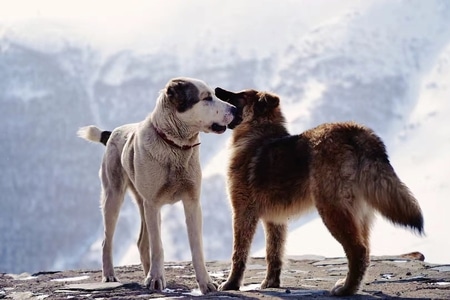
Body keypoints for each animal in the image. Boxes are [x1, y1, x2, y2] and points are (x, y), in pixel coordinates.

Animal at [78, 77, 236, 292]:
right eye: (206, 98)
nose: (235, 109)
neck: (175, 146)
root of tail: (113, 132)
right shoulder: (153, 204)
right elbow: (158, 245)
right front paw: (155, 279)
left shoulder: (192, 202)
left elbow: (197, 247)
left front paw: (206, 283)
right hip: (114, 197)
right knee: (107, 241)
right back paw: (111, 275)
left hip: (141, 203)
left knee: (141, 242)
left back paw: (147, 273)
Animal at [216, 86, 424, 296]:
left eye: (240, 95)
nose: (217, 89)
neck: (257, 131)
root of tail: (355, 131)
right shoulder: (276, 220)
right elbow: (273, 253)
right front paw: (271, 283)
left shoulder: (243, 211)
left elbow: (239, 254)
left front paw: (231, 284)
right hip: (359, 214)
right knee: (365, 252)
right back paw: (349, 285)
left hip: (331, 209)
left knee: (358, 251)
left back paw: (346, 289)